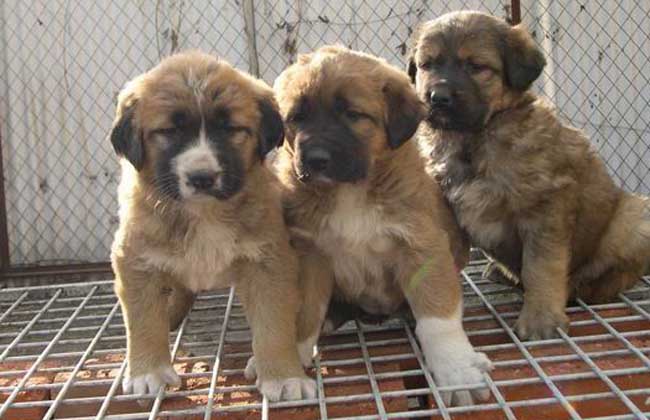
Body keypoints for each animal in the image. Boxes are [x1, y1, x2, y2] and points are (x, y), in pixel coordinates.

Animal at [109, 50, 316, 402]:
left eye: (231, 128)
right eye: (169, 131)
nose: (201, 177)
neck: (203, 213)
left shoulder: (268, 261)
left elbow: (274, 324)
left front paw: (283, 375)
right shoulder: (135, 260)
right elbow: (143, 319)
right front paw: (148, 372)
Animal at [264, 44, 492, 406]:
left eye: (353, 115)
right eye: (296, 118)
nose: (315, 159)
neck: (350, 192)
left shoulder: (421, 245)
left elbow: (437, 317)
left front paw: (457, 369)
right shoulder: (310, 254)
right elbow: (305, 312)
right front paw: (291, 362)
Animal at [410, 11, 648, 340]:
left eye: (476, 66)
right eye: (427, 65)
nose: (438, 97)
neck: (473, 139)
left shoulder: (544, 207)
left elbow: (541, 268)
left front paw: (540, 319)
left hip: (634, 216)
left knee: (615, 272)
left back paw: (585, 287)